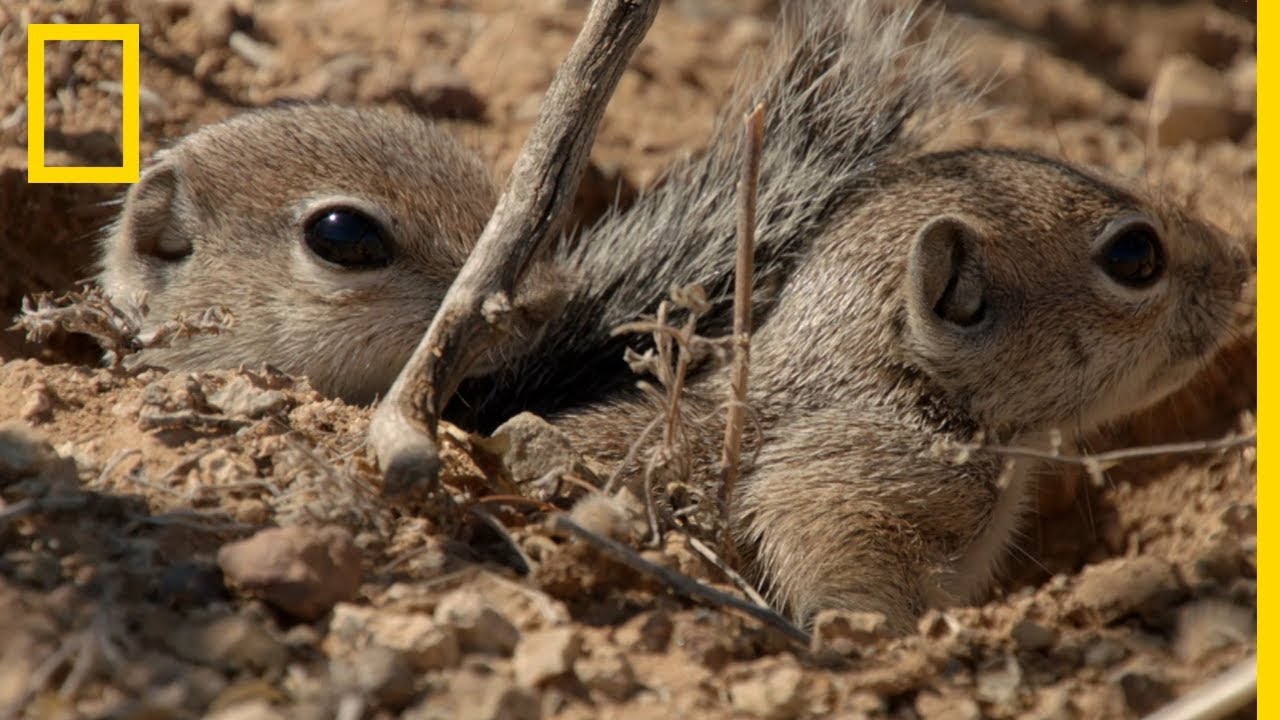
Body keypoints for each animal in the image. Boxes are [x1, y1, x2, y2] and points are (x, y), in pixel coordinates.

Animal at [97, 0, 1252, 632]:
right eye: (1134, 256)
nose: (1241, 266)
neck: (894, 385)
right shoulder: (856, 485)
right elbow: (831, 569)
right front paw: (867, 643)